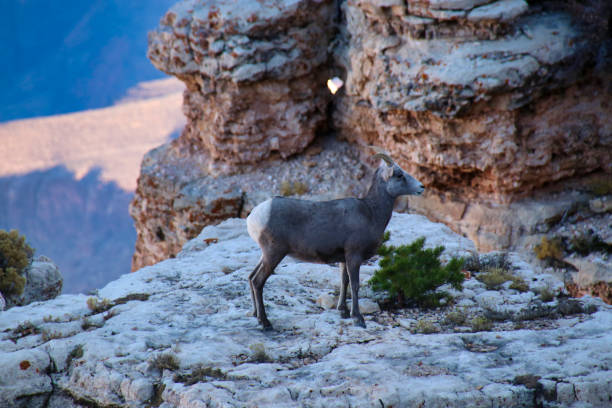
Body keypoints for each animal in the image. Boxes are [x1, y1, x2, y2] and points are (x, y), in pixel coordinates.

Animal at [246, 148, 424, 330]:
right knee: (258, 282)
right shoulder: (354, 256)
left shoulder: (343, 259)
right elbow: (355, 285)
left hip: (266, 255)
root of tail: (253, 216)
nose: (421, 187)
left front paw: (343, 311)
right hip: (274, 254)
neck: (371, 213)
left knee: (251, 277)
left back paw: (255, 315)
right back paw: (265, 322)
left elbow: (344, 281)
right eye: (399, 174)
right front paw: (358, 319)